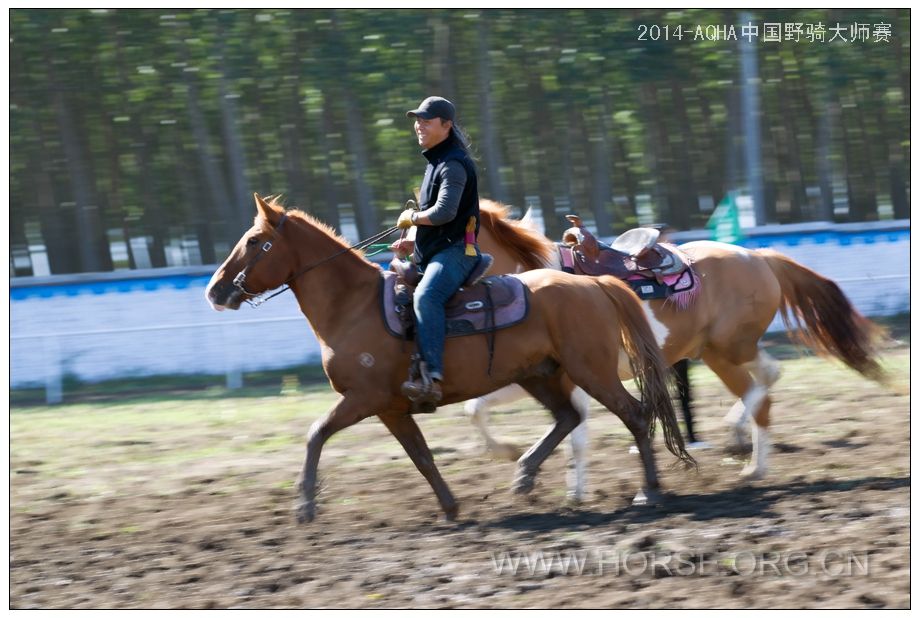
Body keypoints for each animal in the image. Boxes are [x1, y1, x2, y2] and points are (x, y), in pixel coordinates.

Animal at [203, 195, 688, 524]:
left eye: (255, 241)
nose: (215, 290)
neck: (352, 305)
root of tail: (596, 284)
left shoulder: (363, 398)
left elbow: (316, 433)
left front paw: (304, 505)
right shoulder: (391, 408)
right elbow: (421, 457)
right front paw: (451, 507)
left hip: (592, 372)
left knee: (634, 414)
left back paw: (649, 491)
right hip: (542, 375)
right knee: (568, 417)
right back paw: (524, 474)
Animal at [468, 199, 884, 490]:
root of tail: (757, 256)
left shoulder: (568, 376)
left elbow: (570, 431)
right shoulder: (534, 374)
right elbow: (481, 407)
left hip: (725, 348)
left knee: (760, 388)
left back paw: (753, 464)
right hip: (724, 349)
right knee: (767, 376)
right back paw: (742, 439)